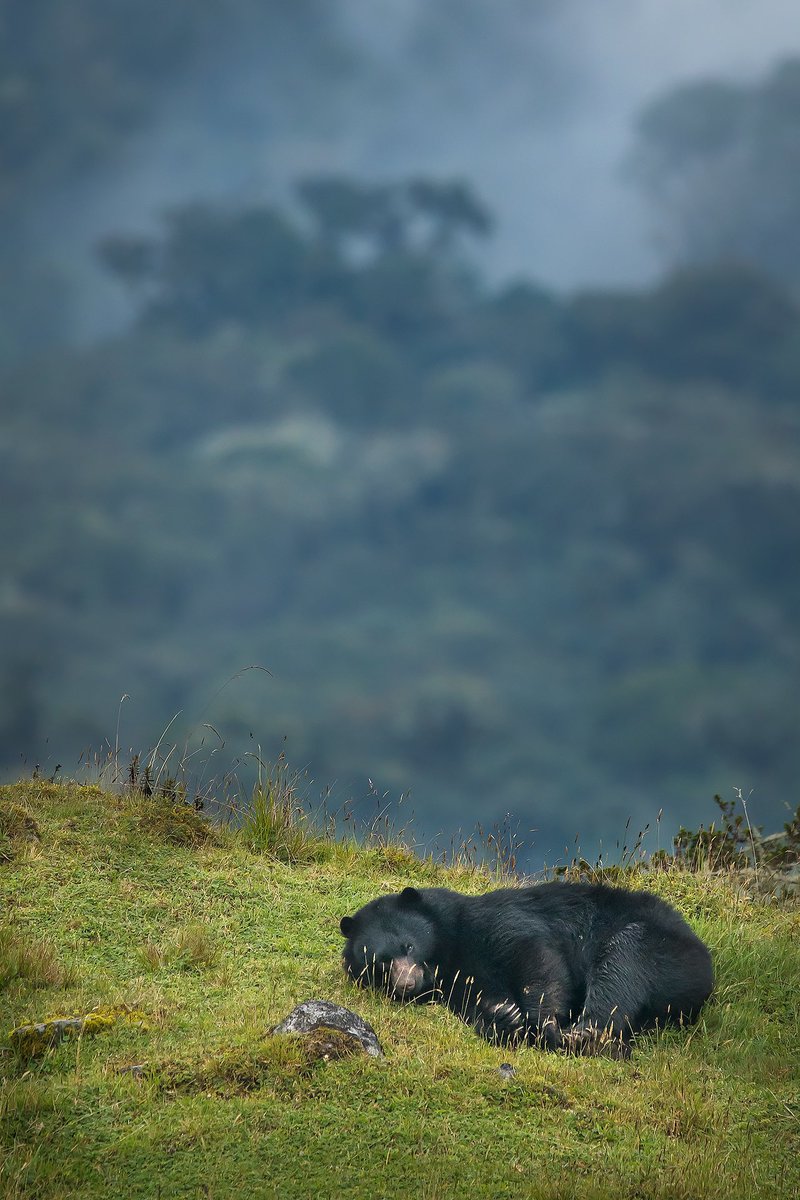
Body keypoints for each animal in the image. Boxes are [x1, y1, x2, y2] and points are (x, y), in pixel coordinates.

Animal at [339, 881, 714, 1057]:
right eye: (379, 963)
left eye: (408, 946)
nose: (406, 983)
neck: (451, 950)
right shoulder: (458, 984)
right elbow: (477, 1003)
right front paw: (506, 1017)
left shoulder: (496, 922)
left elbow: (534, 956)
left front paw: (542, 1022)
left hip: (661, 949)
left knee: (620, 970)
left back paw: (586, 1034)